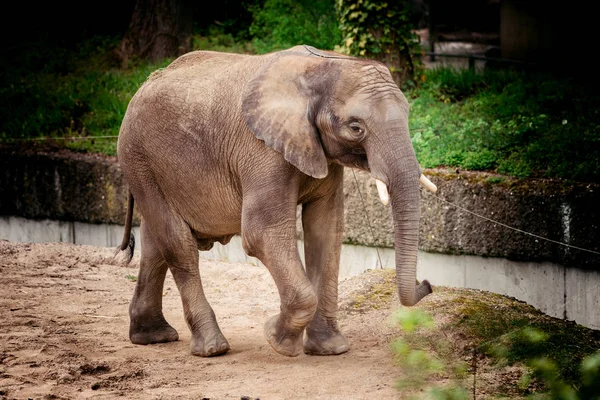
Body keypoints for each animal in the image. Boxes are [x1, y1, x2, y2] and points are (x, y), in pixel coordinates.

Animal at [116, 45, 436, 358]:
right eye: (355, 127)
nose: (427, 284)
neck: (325, 65)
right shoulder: (261, 149)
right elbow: (262, 232)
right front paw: (276, 339)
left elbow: (326, 230)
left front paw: (330, 350)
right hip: (137, 157)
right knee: (177, 243)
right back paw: (212, 349)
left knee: (155, 241)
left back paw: (153, 337)